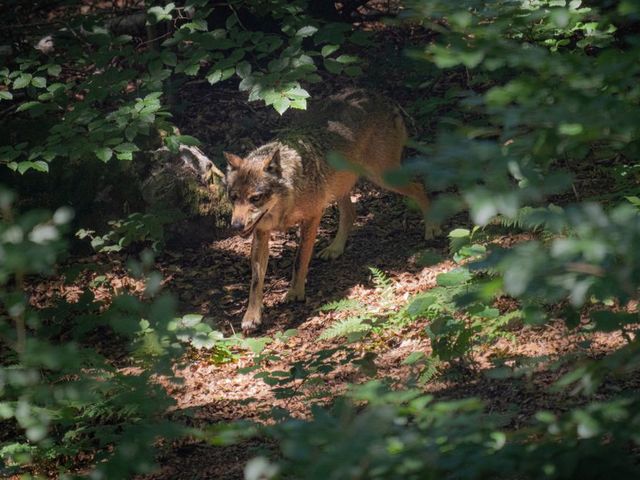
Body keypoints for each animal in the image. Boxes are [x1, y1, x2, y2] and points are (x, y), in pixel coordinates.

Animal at [223, 89, 440, 332]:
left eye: (255, 198)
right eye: (233, 197)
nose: (236, 226)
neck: (287, 199)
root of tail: (379, 96)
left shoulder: (312, 217)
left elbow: (299, 260)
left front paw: (295, 292)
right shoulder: (261, 232)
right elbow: (255, 280)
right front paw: (251, 317)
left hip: (382, 177)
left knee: (419, 186)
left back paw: (432, 228)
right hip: (340, 186)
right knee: (351, 213)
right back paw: (335, 248)